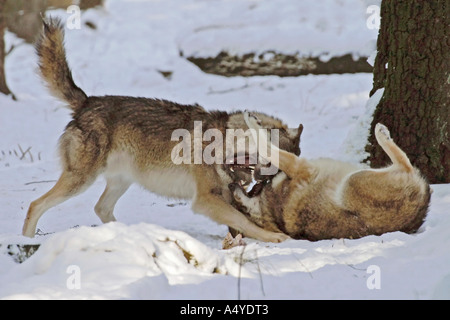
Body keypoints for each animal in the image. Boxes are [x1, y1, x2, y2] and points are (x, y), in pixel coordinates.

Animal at [22, 17, 302, 242]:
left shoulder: (227, 195)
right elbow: (243, 220)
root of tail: (86, 101)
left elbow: (242, 221)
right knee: (35, 204)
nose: (268, 184)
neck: (224, 144)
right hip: (81, 181)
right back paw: (25, 241)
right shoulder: (205, 200)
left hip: (120, 181)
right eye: (274, 162)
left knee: (100, 208)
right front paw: (275, 238)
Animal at [230, 112, 430, 240]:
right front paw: (251, 121)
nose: (231, 186)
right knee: (405, 164)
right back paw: (382, 133)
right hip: (353, 181)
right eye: (241, 207)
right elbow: (267, 147)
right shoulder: (302, 168)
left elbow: (267, 148)